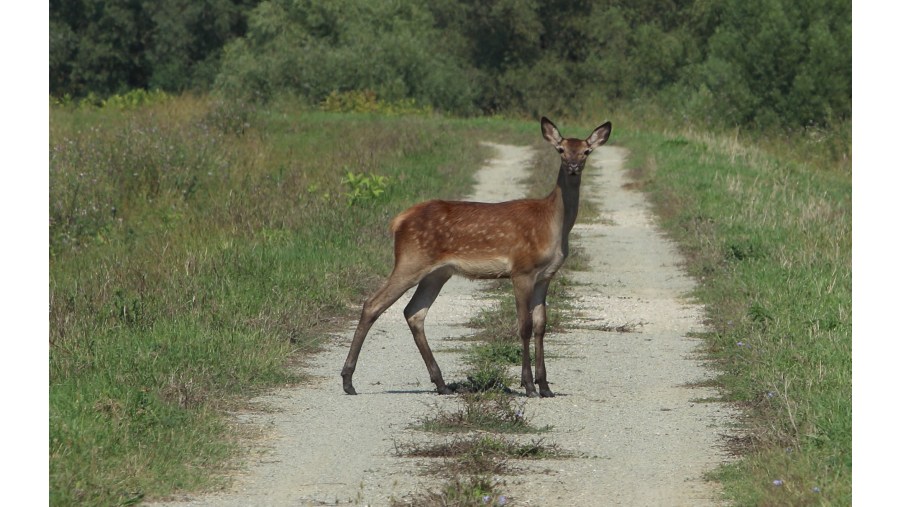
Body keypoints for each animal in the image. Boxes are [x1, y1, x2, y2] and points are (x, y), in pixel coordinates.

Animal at [340, 117, 612, 398]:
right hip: (411, 259)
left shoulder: (546, 276)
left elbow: (540, 325)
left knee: (414, 312)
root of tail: (399, 220)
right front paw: (528, 385)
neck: (553, 224)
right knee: (373, 304)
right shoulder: (521, 269)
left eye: (586, 151)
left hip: (437, 273)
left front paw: (545, 386)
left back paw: (441, 383)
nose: (573, 167)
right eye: (560, 149)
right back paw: (348, 381)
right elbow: (524, 326)